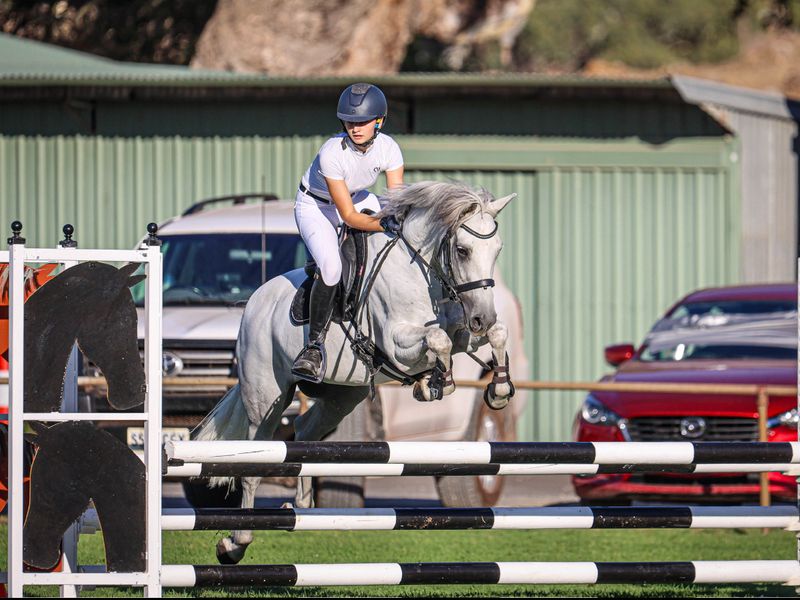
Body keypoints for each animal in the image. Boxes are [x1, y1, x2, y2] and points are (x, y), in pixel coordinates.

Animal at [192, 181, 517, 564]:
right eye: (463, 251)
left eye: (497, 250)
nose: (483, 317)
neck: (422, 273)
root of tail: (254, 302)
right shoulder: (396, 344)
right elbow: (437, 340)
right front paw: (439, 382)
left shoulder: (462, 330)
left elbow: (492, 335)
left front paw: (497, 388)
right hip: (266, 399)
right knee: (256, 461)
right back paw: (235, 543)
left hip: (342, 396)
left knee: (304, 431)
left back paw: (301, 505)